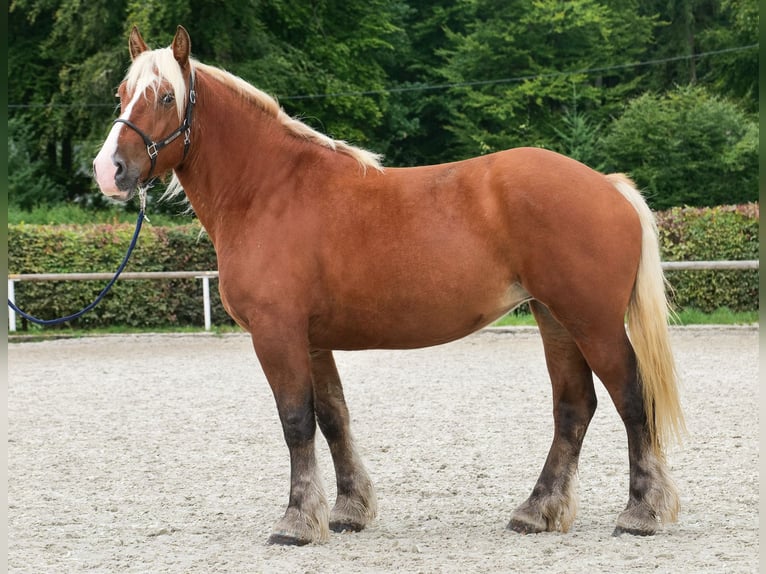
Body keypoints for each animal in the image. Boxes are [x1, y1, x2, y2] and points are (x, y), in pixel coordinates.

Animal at [93, 26, 685, 546]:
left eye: (166, 96)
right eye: (121, 94)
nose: (109, 170)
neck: (268, 190)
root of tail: (607, 185)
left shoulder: (276, 333)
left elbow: (296, 422)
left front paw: (296, 522)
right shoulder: (313, 339)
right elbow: (333, 418)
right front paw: (347, 511)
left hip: (593, 323)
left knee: (632, 399)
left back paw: (641, 513)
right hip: (556, 318)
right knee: (573, 407)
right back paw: (537, 510)